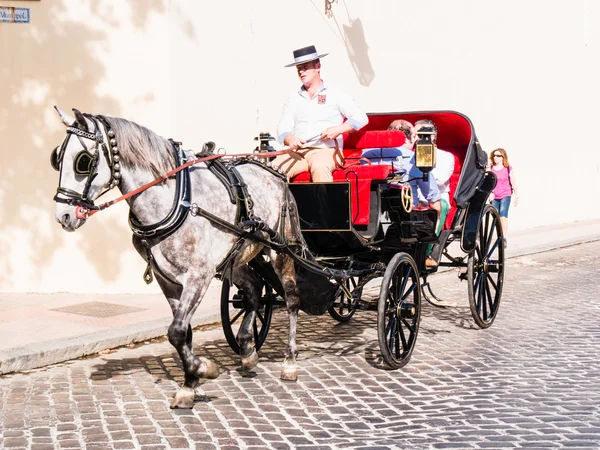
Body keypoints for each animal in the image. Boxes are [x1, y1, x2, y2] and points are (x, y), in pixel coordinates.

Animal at [49, 107, 304, 410]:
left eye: (82, 161)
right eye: (56, 158)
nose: (64, 216)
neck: (176, 200)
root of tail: (274, 173)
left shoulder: (198, 275)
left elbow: (177, 331)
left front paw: (201, 371)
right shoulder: (167, 278)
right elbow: (183, 331)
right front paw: (191, 381)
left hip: (281, 249)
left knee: (291, 298)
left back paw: (289, 361)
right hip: (232, 259)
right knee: (254, 289)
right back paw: (247, 350)